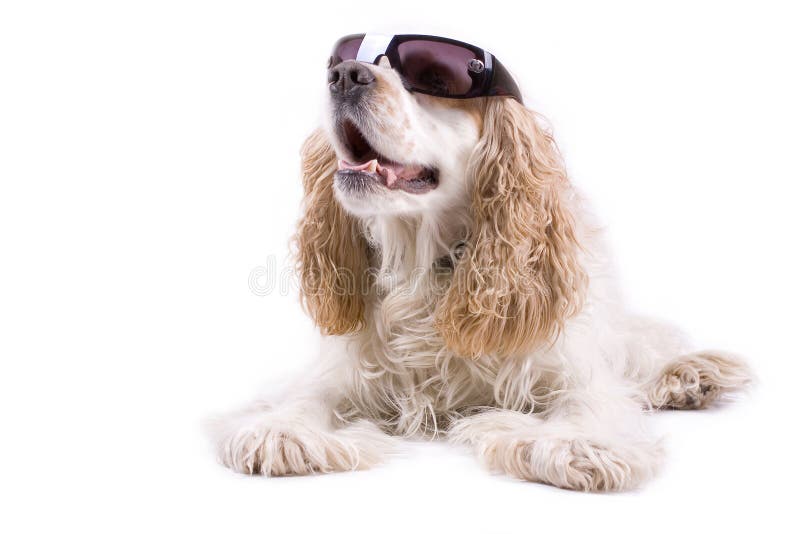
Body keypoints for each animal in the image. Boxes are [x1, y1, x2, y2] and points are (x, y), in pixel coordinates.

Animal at [214, 33, 752, 494]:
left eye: (431, 79)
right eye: (347, 60)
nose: (345, 74)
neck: (426, 264)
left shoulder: (569, 360)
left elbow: (586, 397)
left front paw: (575, 443)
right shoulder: (346, 368)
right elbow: (308, 394)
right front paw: (280, 429)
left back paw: (689, 375)